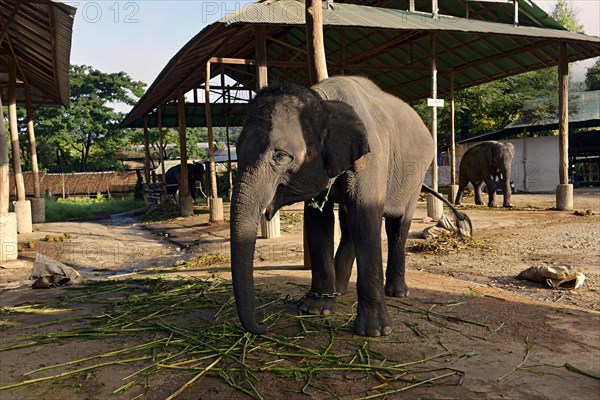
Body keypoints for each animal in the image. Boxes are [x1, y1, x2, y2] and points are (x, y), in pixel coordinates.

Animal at [230, 76, 468, 338]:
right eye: (237, 152)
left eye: (281, 156)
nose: (262, 326)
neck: (324, 102)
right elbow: (318, 222)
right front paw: (316, 309)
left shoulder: (371, 160)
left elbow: (366, 217)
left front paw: (375, 332)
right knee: (349, 223)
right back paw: (340, 289)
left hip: (416, 177)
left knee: (397, 226)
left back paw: (397, 292)